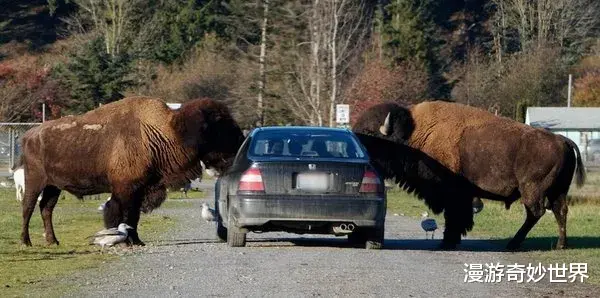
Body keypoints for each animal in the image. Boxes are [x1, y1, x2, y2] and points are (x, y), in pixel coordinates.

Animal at [18, 96, 245, 246]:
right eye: (220, 124)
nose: (242, 141)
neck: (165, 132)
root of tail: (29, 134)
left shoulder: (140, 189)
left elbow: (133, 217)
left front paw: (137, 240)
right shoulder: (125, 189)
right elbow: (122, 214)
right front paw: (126, 241)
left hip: (53, 186)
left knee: (46, 209)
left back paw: (53, 241)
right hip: (35, 181)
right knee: (28, 207)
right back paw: (26, 242)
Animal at [354, 101, 584, 250]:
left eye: (371, 134)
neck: (415, 134)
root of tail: (562, 139)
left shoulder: (453, 194)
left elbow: (455, 217)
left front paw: (447, 242)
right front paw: (451, 240)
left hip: (532, 190)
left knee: (536, 212)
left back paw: (513, 244)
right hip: (558, 190)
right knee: (560, 211)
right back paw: (561, 245)